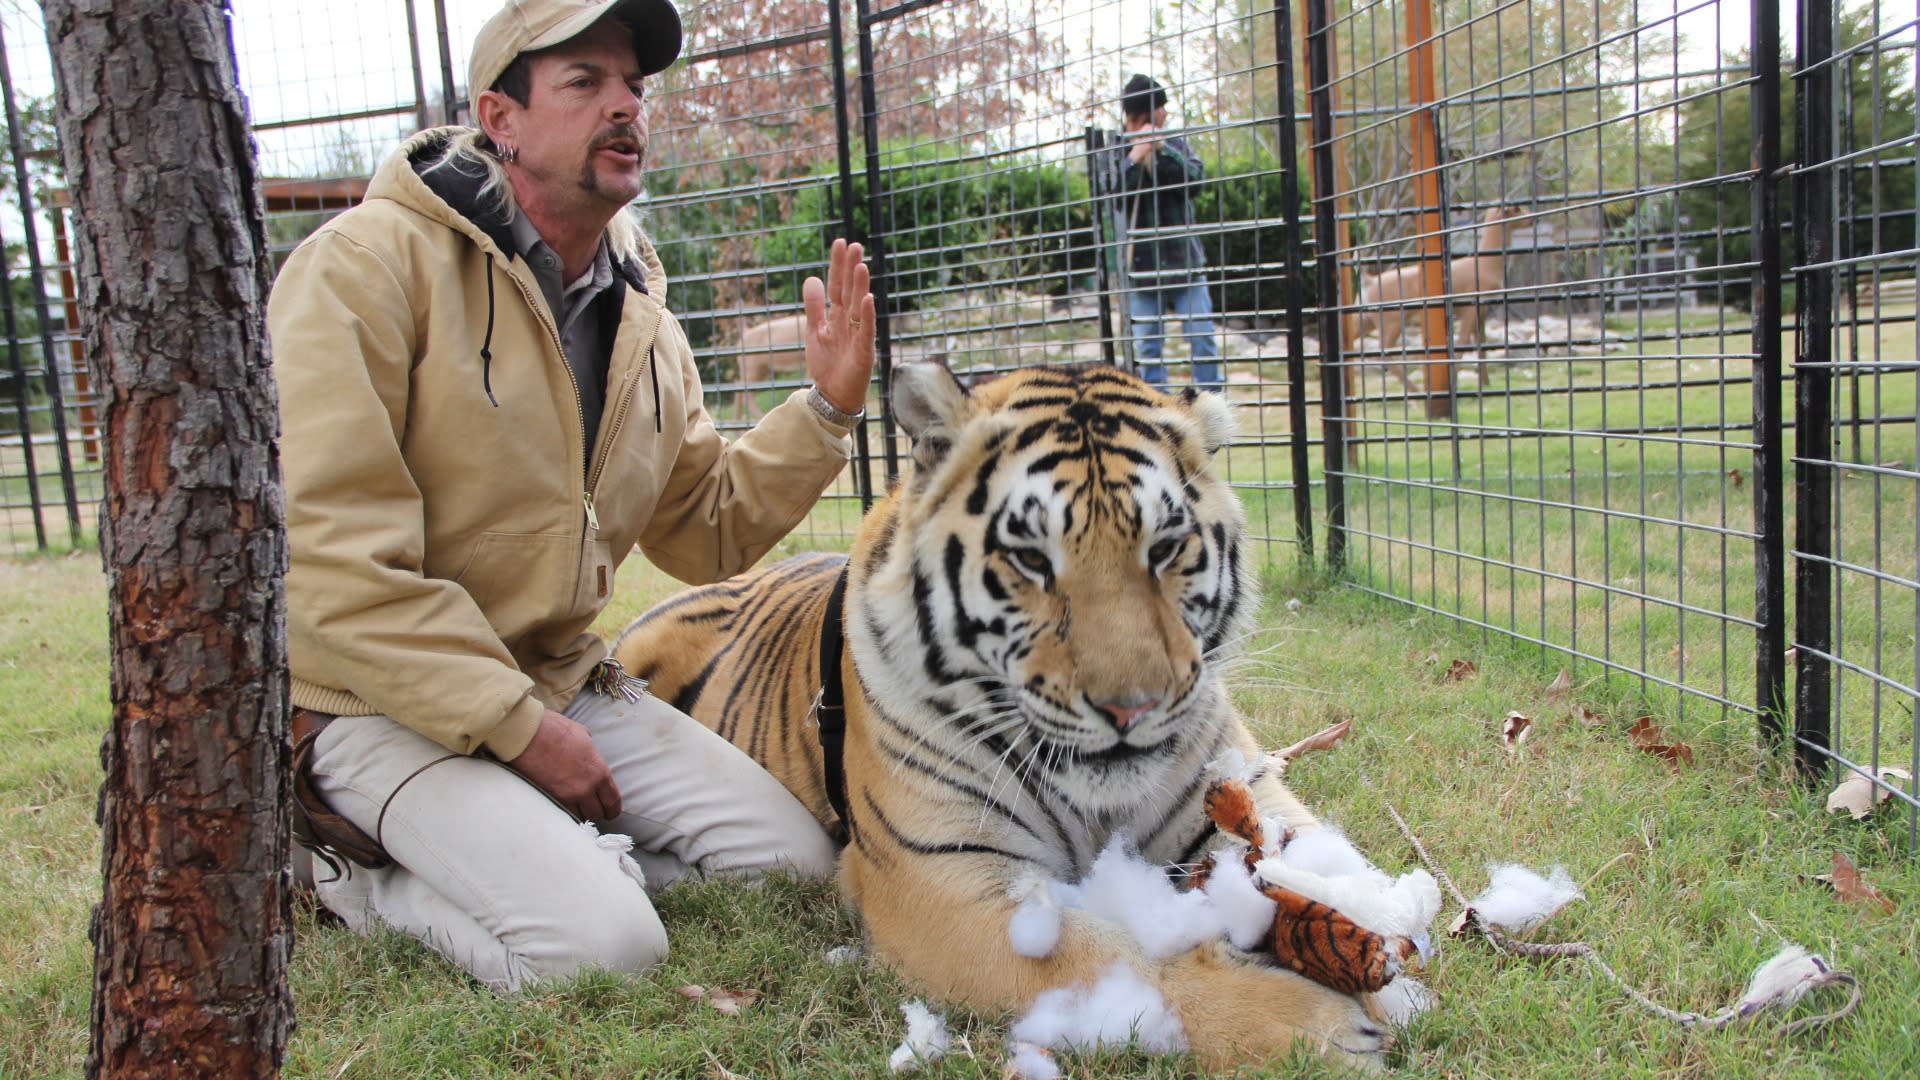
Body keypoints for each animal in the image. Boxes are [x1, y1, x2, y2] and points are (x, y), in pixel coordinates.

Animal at [614, 363, 1382, 1068]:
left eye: (1165, 549)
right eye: (1030, 558)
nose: (1129, 708)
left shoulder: (1239, 790)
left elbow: (1322, 865)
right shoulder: (938, 883)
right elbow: (1117, 960)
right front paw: (1322, 1029)